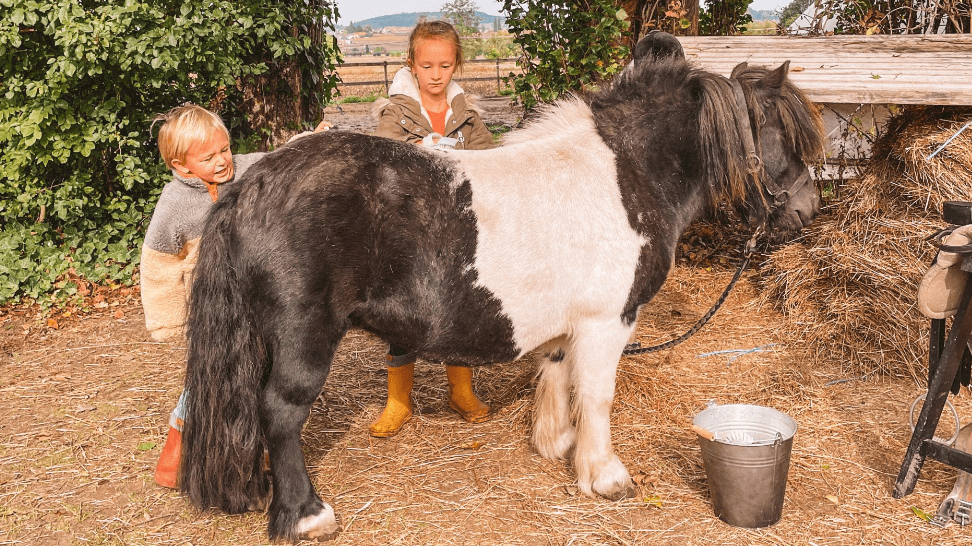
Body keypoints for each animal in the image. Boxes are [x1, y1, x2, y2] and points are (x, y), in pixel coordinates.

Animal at [179, 32, 824, 541]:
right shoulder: (607, 321)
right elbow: (597, 396)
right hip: (302, 338)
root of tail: (252, 184)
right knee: (280, 412)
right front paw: (604, 475)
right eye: (783, 138)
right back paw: (306, 514)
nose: (808, 210)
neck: (629, 174)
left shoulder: (568, 326)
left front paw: (557, 446)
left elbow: (559, 378)